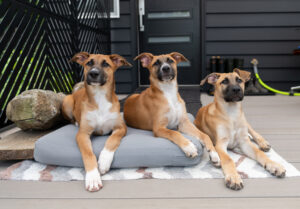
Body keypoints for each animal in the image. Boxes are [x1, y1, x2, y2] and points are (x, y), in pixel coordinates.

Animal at [61, 51, 131, 191]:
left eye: (106, 64)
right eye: (89, 63)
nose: (93, 73)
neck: (100, 97)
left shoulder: (121, 127)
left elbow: (112, 140)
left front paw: (104, 161)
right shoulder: (82, 134)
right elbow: (88, 153)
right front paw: (93, 177)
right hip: (67, 101)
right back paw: (76, 122)